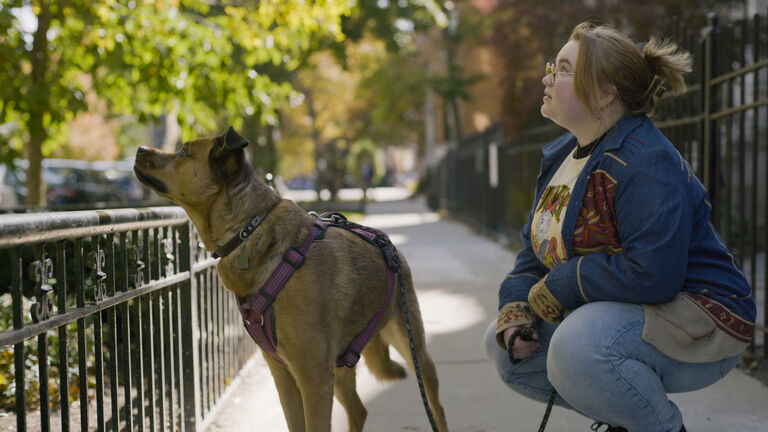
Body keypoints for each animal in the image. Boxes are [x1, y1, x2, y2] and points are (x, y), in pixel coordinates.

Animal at [131, 126, 444, 430]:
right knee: (358, 411)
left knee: (436, 409)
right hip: (341, 364)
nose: (140, 148)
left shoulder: (313, 378)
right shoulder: (284, 375)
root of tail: (389, 246)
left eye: (183, 152)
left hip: (413, 347)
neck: (249, 229)